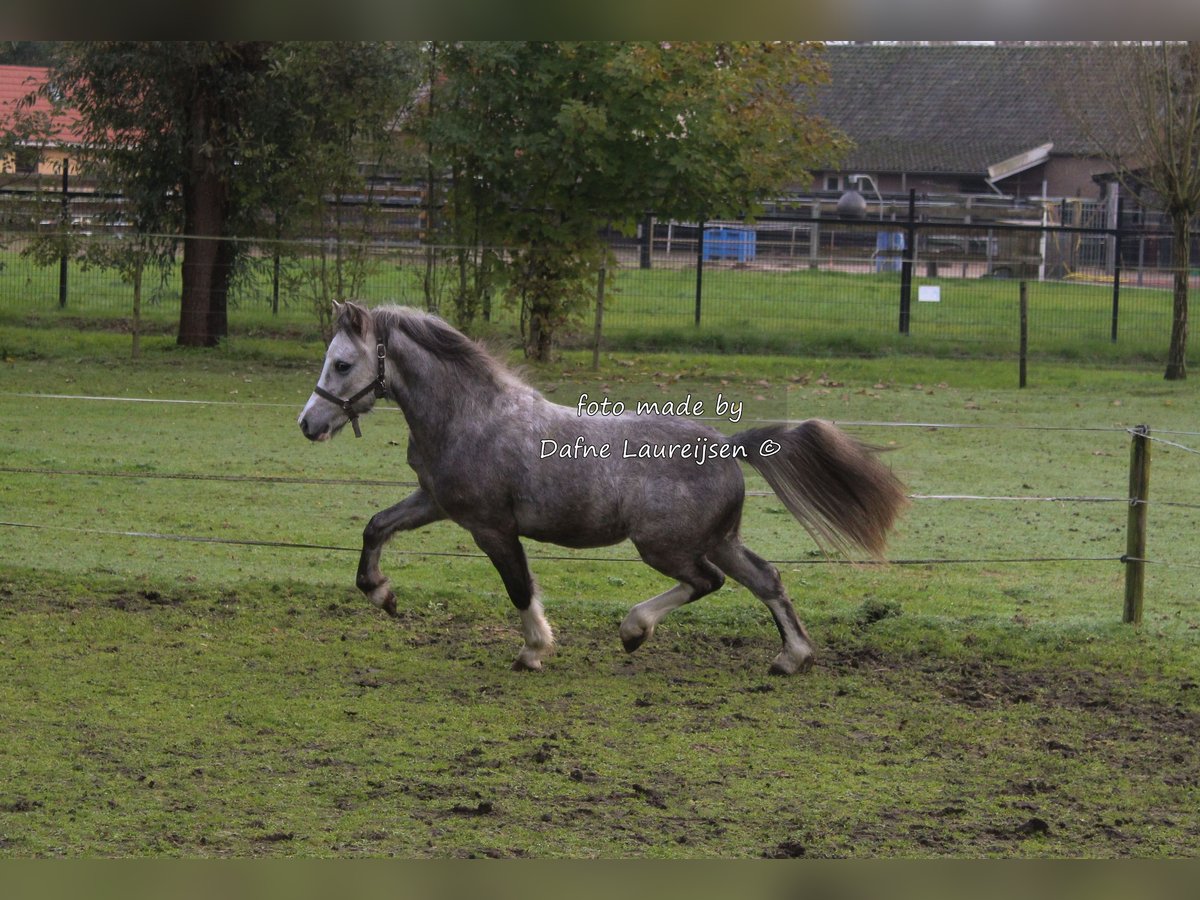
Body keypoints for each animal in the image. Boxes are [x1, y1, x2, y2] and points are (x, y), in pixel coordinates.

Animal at [295, 303, 902, 676]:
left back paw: (634, 630)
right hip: (718, 538)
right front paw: (383, 594)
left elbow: (519, 587)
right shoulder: (437, 503)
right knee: (766, 578)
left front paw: (534, 650)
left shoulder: (491, 527)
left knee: (707, 582)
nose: (308, 424)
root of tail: (728, 445)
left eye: (342, 363)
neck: (473, 416)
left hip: (666, 546)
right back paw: (790, 658)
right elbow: (376, 526)